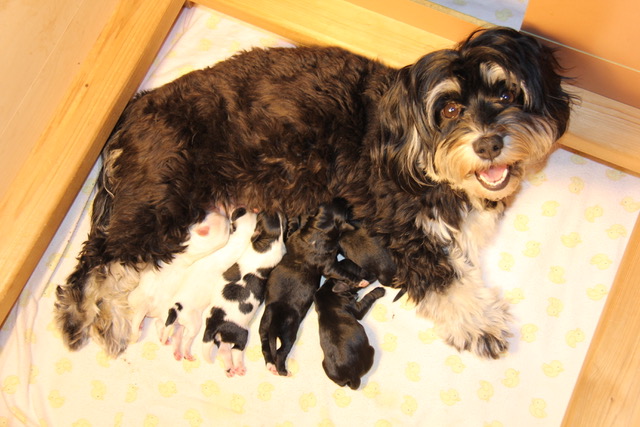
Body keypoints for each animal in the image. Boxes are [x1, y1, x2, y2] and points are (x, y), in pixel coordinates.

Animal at [162, 208, 257, 361]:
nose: (240, 208)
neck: (239, 238)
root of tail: (177, 309)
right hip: (194, 324)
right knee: (186, 338)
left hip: (181, 323)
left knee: (172, 332)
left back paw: (173, 347)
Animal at [201, 211, 285, 377]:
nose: (261, 210)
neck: (269, 241)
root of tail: (215, 322)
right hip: (241, 333)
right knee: (236, 350)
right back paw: (239, 366)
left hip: (222, 337)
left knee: (224, 350)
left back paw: (230, 368)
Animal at [259, 199, 369, 376]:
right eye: (346, 210)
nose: (347, 201)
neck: (317, 230)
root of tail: (275, 318)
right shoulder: (329, 267)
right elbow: (343, 272)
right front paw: (360, 281)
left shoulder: (292, 238)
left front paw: (294, 221)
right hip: (289, 331)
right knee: (282, 351)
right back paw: (283, 370)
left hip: (263, 325)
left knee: (265, 347)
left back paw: (270, 365)